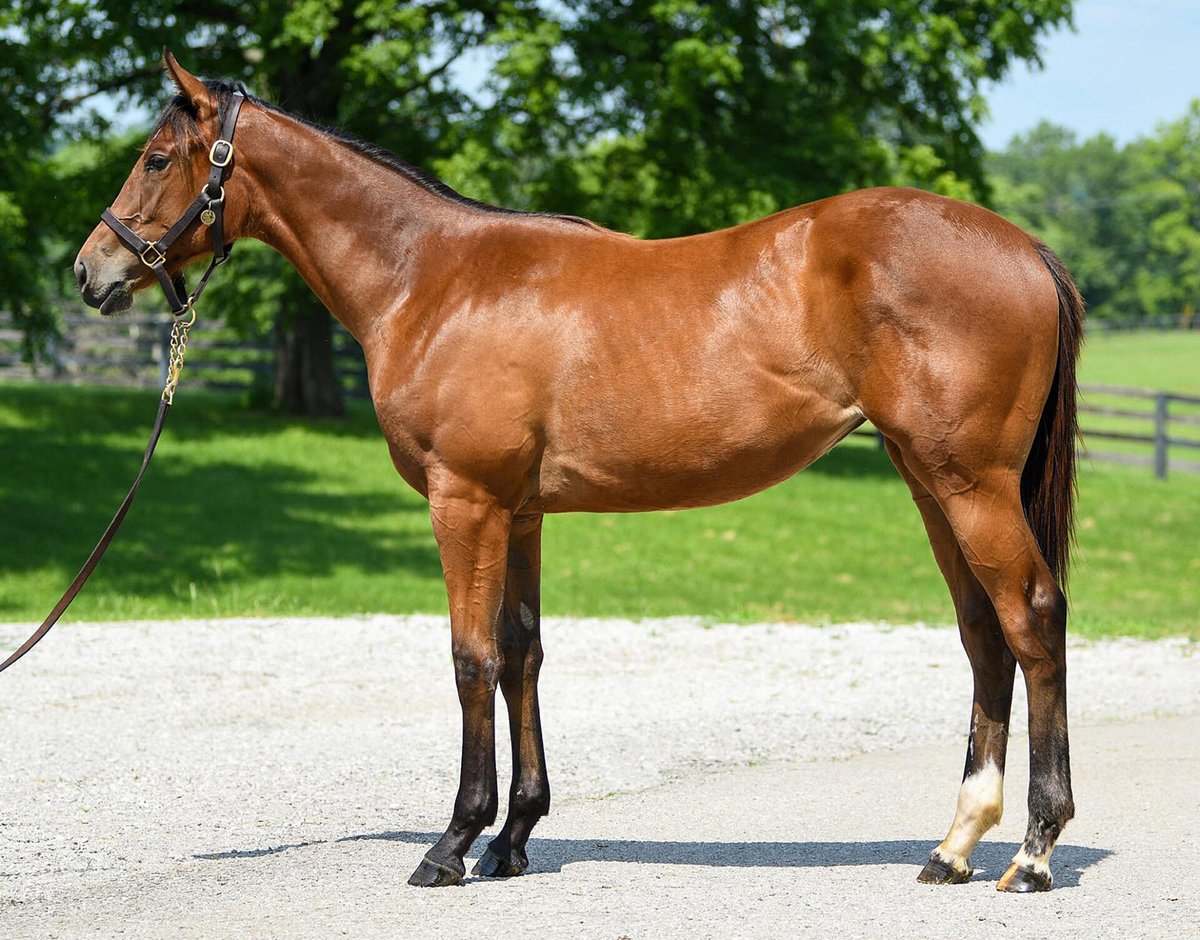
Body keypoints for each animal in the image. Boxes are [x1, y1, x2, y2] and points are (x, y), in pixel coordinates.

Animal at [74, 54, 1082, 893]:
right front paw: (515, 838)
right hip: (930, 482)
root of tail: (1024, 247)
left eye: (157, 158)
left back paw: (1033, 851)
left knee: (1032, 619)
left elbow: (471, 659)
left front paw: (454, 843)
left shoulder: (466, 501)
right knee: (984, 634)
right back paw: (954, 846)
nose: (91, 270)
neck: (433, 279)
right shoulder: (519, 513)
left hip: (971, 485)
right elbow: (522, 652)